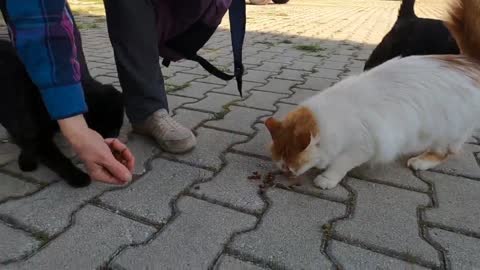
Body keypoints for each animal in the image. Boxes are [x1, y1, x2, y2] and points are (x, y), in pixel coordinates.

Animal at [0, 39, 124, 188]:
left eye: (118, 127)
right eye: (111, 128)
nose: (115, 136)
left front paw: (26, 160)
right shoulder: (31, 131)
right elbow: (55, 158)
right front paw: (76, 176)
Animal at [266, 0, 480, 190]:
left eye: (290, 166)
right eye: (280, 163)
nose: (285, 172)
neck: (333, 119)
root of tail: (470, 61)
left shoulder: (362, 146)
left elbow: (340, 164)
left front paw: (326, 179)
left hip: (448, 129)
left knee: (446, 152)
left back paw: (421, 161)